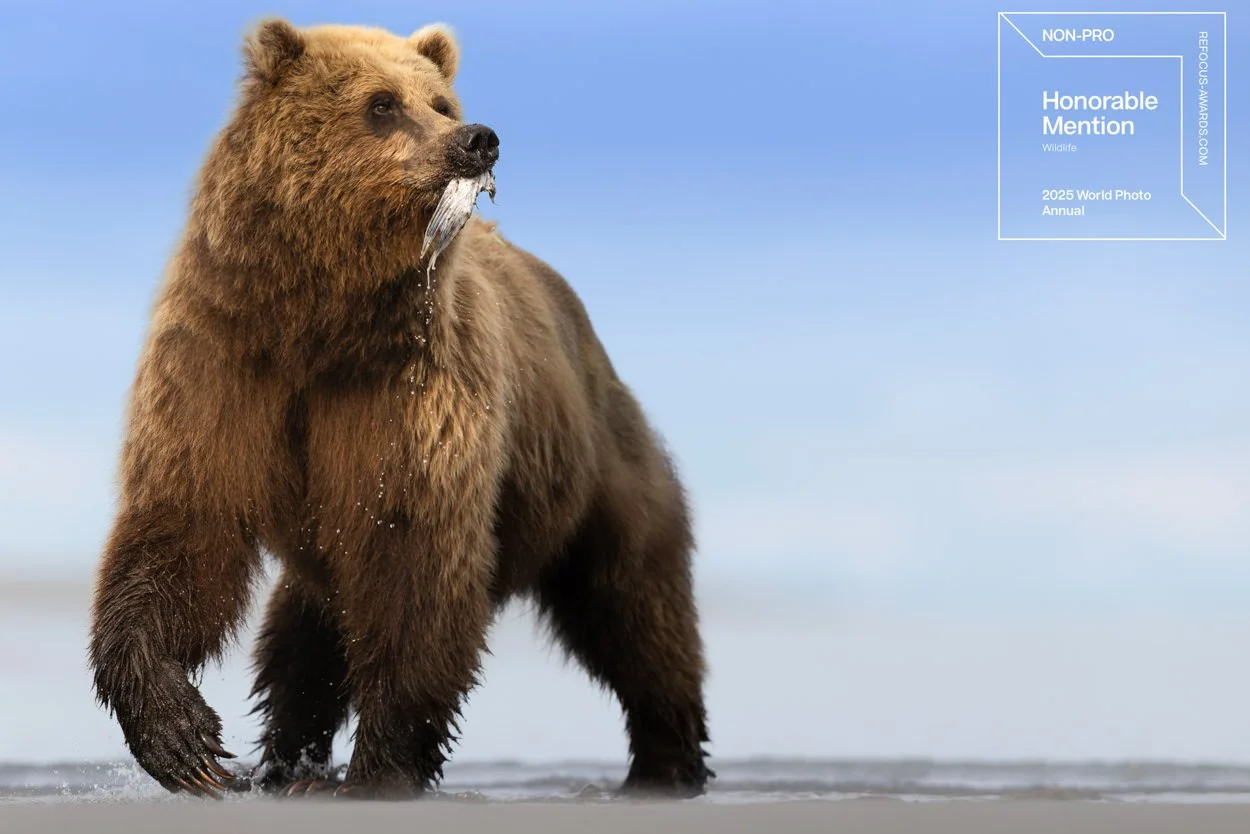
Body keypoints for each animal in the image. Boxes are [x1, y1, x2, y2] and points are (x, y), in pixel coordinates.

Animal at [85, 18, 712, 800]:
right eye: (381, 104)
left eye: (440, 102)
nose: (476, 138)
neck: (319, 323)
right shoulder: (226, 360)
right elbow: (185, 525)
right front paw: (182, 738)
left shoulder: (413, 395)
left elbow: (415, 564)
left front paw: (380, 768)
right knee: (306, 630)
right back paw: (288, 758)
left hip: (591, 462)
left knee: (634, 609)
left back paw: (667, 759)